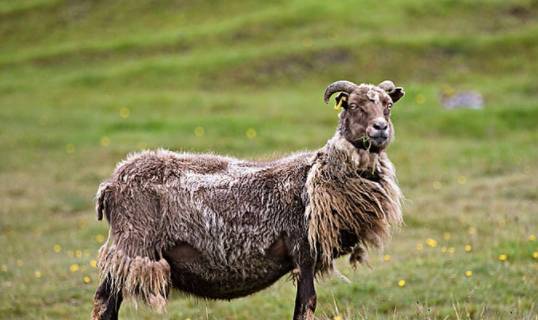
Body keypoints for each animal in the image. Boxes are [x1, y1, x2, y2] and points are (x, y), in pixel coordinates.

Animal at [92, 80, 402, 320]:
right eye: (353, 105)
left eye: (388, 105)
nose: (380, 128)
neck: (316, 174)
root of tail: (111, 183)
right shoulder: (304, 252)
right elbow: (306, 305)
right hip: (131, 246)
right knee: (103, 303)